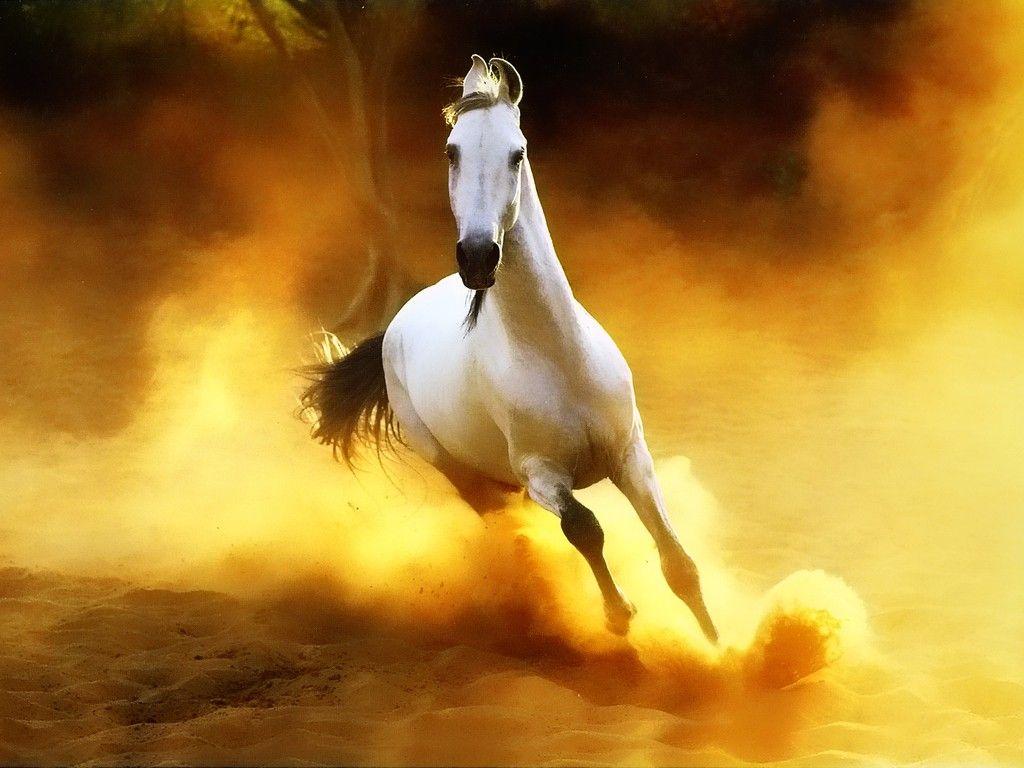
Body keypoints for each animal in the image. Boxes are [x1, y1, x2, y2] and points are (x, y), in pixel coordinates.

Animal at [302, 55, 718, 642]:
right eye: (451, 150)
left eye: (517, 152)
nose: (478, 256)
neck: (557, 358)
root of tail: (396, 323)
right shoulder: (538, 472)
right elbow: (584, 527)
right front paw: (620, 616)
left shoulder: (630, 453)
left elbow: (678, 562)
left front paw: (720, 648)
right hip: (462, 472)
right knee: (506, 525)